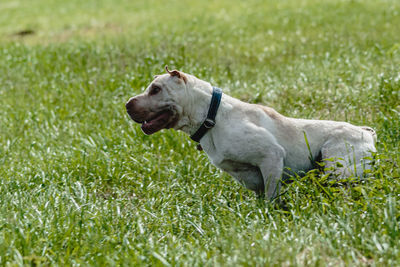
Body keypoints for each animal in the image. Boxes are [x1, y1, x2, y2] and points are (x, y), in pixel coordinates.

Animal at [126, 68, 376, 200]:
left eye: (155, 89)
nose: (127, 105)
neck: (212, 117)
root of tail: (368, 133)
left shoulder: (271, 156)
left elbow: (271, 197)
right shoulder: (250, 176)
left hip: (336, 168)